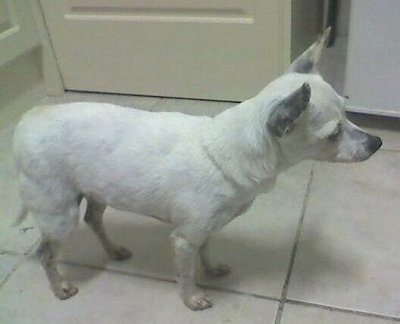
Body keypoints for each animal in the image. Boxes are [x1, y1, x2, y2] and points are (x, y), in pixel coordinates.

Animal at [12, 28, 382, 312]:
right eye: (334, 134)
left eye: (348, 111)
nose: (377, 142)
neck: (231, 150)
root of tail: (26, 120)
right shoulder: (184, 239)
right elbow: (186, 273)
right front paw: (192, 299)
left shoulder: (205, 229)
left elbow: (207, 250)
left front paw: (212, 269)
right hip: (59, 215)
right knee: (45, 252)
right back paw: (60, 288)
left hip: (95, 192)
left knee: (93, 220)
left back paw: (113, 250)